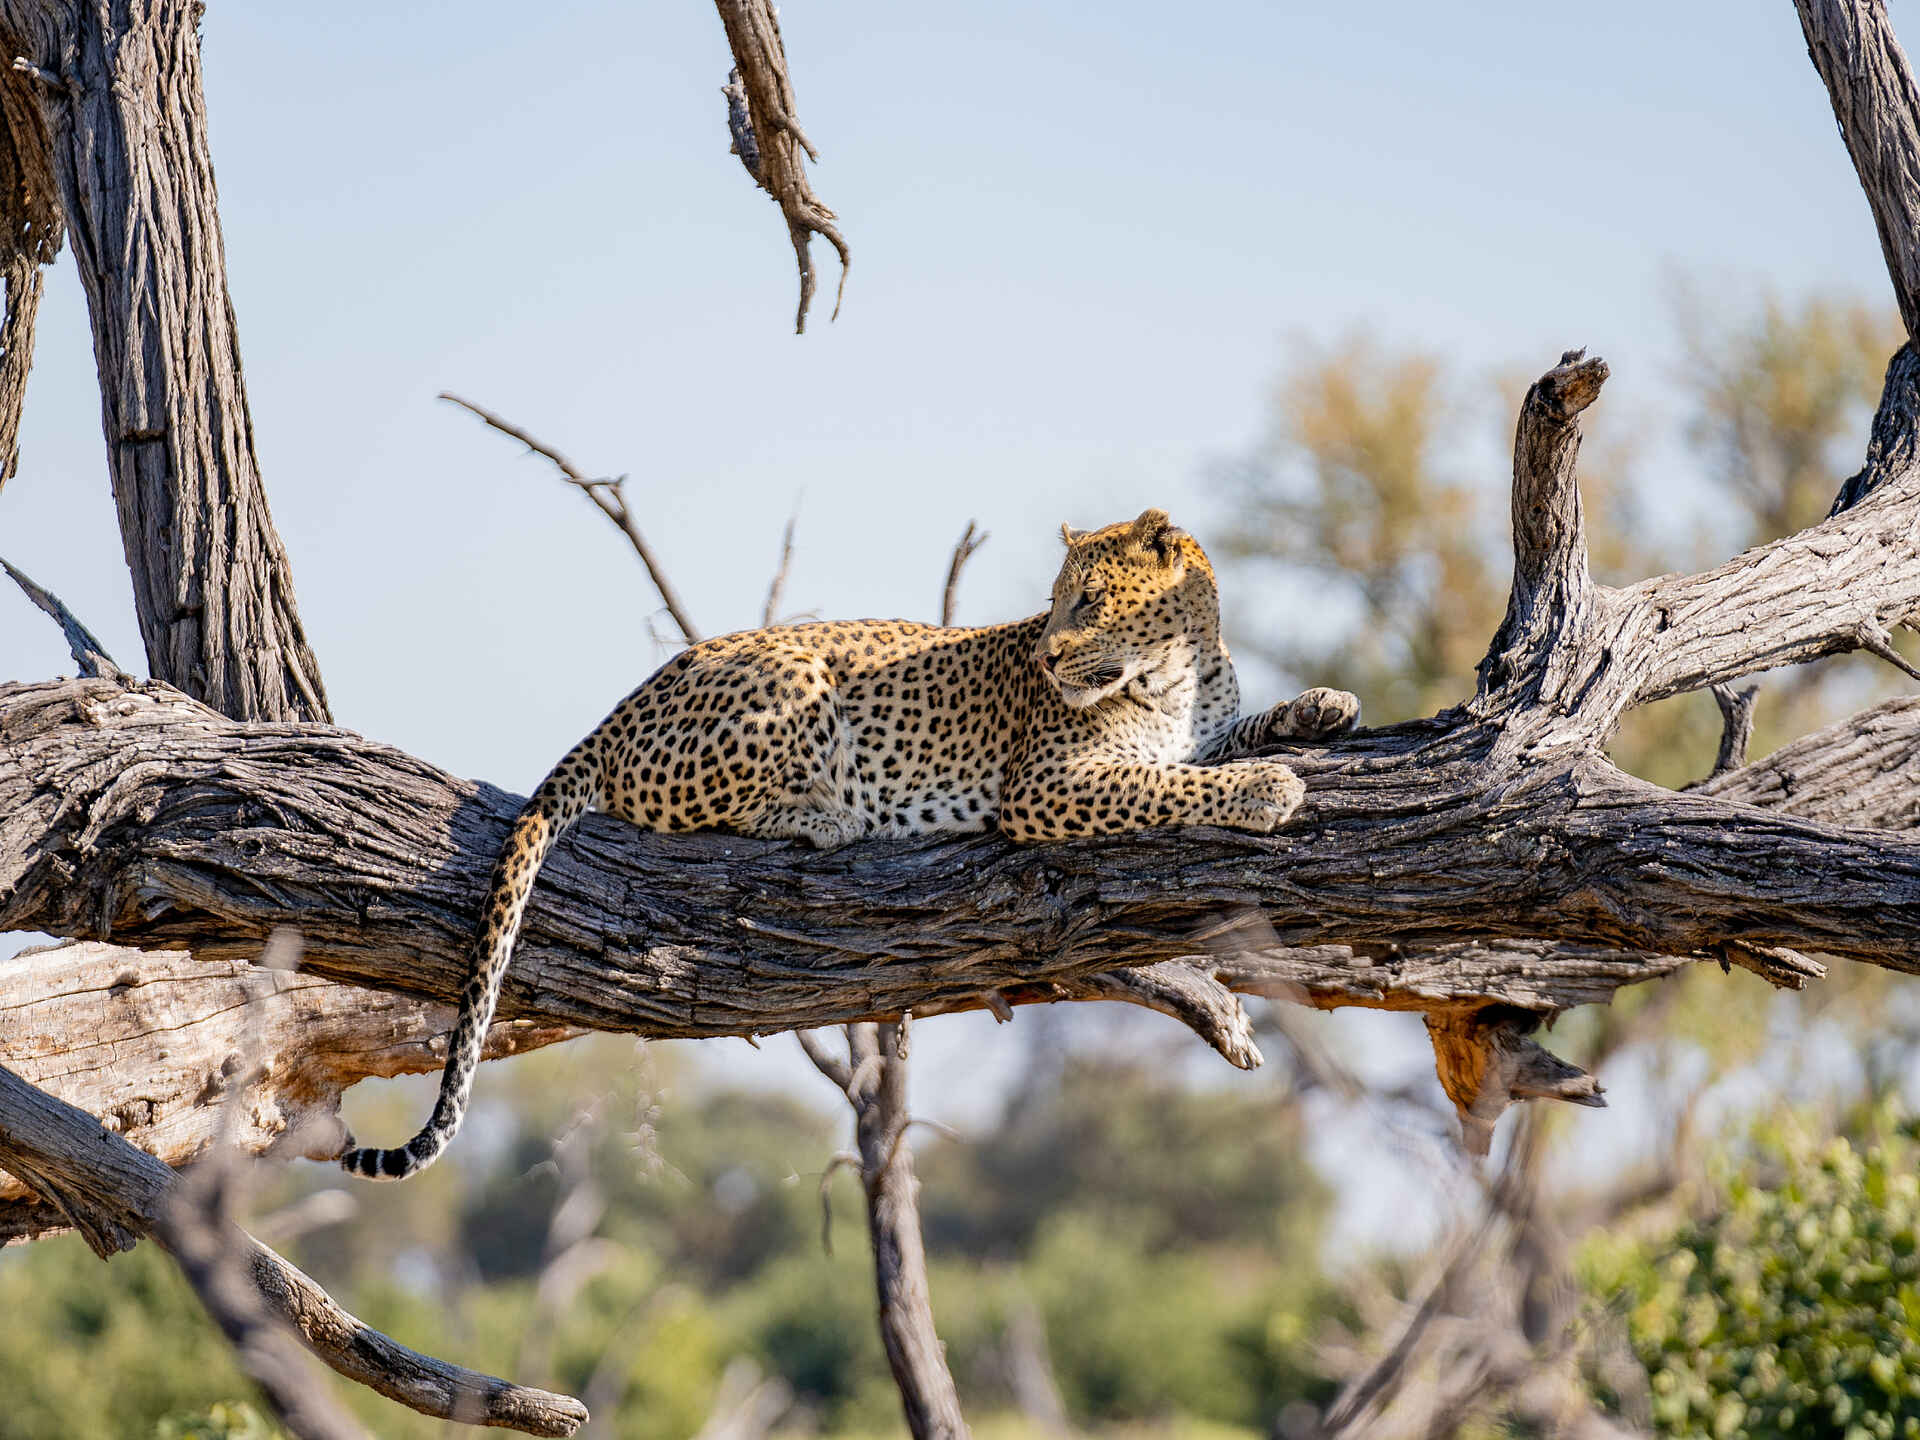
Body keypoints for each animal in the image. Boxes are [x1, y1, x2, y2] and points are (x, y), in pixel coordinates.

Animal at [341, 508, 1359, 1180]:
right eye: (1056, 604)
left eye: (1093, 602)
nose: (1047, 656)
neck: (1178, 671)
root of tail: (623, 706)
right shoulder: (1049, 784)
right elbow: (1170, 785)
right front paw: (1270, 788)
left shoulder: (1192, 731)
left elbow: (1230, 737)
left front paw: (1322, 706)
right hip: (794, 674)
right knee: (691, 809)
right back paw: (830, 814)